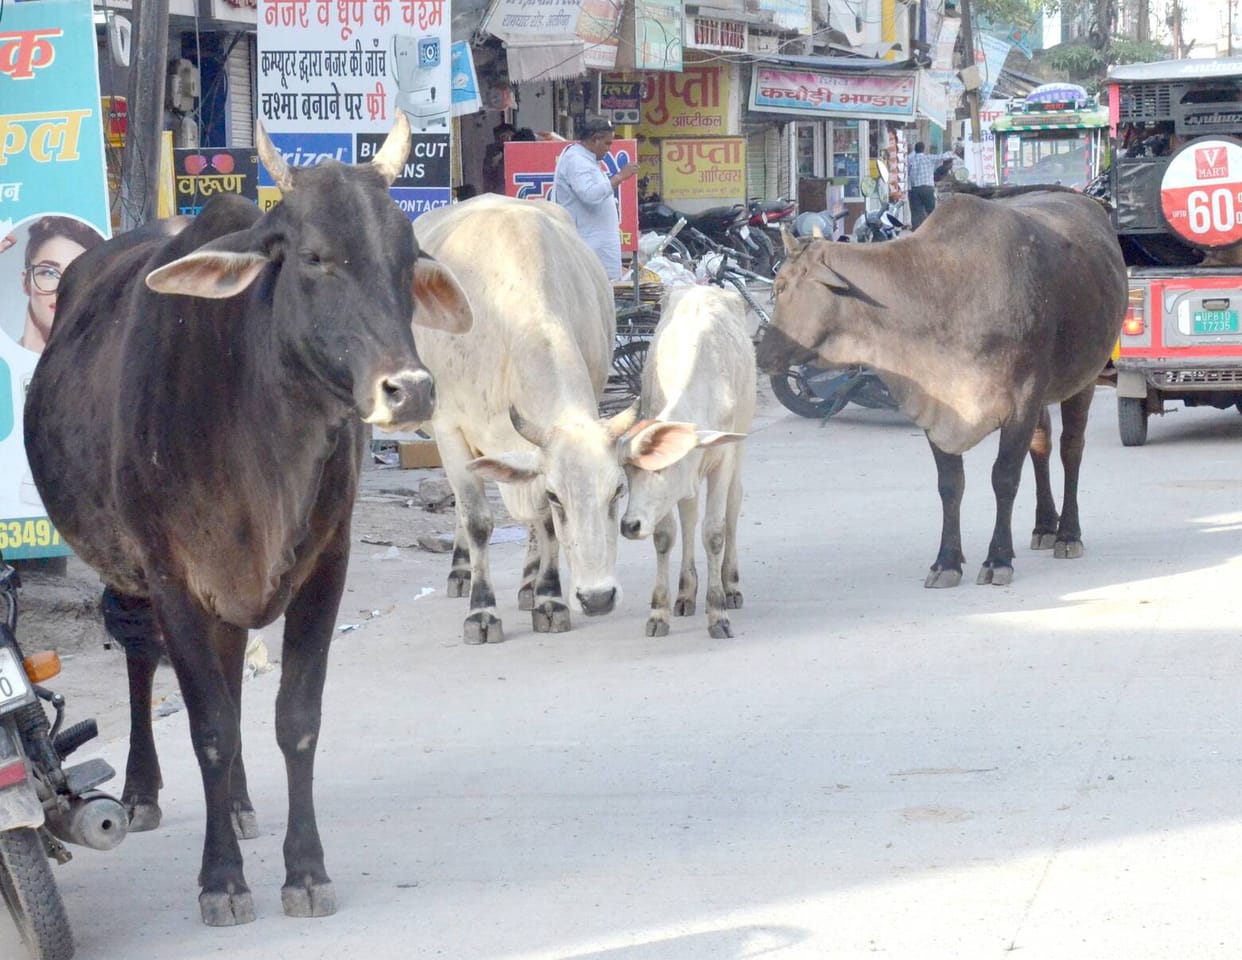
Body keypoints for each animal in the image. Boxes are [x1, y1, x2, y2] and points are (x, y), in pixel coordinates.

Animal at [23, 116, 473, 927]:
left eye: (405, 264)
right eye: (315, 258)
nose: (411, 390)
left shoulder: (327, 563)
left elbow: (294, 718)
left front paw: (305, 869)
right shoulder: (173, 574)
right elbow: (207, 727)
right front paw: (222, 880)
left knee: (230, 678)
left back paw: (234, 805)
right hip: (132, 575)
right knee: (142, 657)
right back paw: (143, 791)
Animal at [411, 194, 636, 644]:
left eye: (619, 489)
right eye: (558, 495)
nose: (598, 598)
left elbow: (544, 524)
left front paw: (550, 599)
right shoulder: (449, 429)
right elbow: (477, 519)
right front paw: (481, 611)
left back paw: (530, 584)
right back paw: (461, 571)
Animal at [620, 285, 755, 639]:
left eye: (661, 468)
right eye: (627, 471)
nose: (628, 525)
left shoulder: (722, 459)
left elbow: (714, 533)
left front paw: (718, 613)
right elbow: (666, 535)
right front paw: (659, 612)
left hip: (740, 445)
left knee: (733, 506)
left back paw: (731, 585)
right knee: (689, 515)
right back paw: (686, 592)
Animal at [755, 187, 1128, 587]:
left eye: (780, 287)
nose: (761, 354)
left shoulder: (1022, 399)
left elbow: (1004, 477)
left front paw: (998, 558)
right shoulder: (936, 403)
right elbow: (950, 484)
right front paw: (947, 561)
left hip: (1083, 378)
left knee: (1070, 449)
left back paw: (1068, 534)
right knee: (1041, 447)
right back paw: (1044, 525)